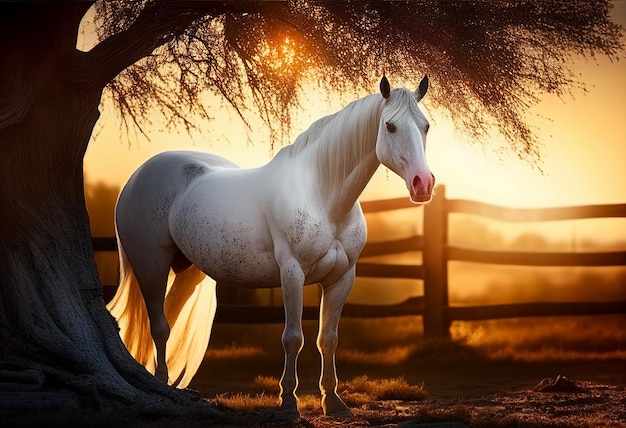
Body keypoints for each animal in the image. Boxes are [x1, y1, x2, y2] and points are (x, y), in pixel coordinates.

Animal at [107, 75, 432, 416]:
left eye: (425, 126)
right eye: (390, 126)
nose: (423, 184)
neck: (322, 197)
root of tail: (136, 177)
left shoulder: (341, 279)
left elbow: (328, 338)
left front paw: (333, 401)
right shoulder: (292, 273)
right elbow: (293, 338)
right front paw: (288, 401)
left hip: (189, 271)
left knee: (169, 318)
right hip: (151, 265)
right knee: (159, 325)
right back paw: (160, 385)